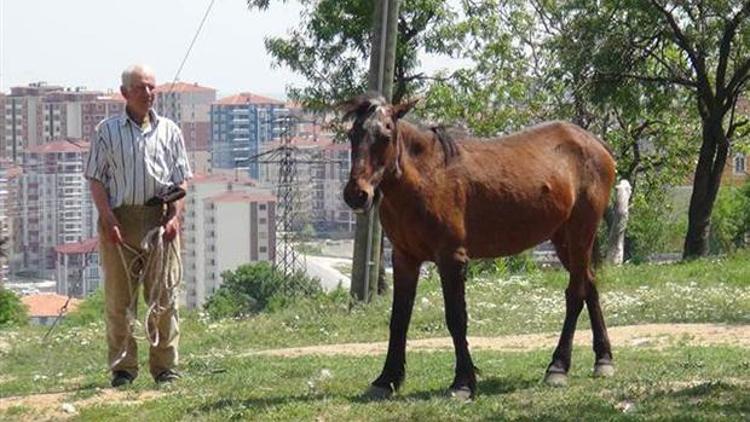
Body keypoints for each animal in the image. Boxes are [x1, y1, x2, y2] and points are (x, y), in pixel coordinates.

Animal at [344, 92, 620, 398]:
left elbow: (456, 318)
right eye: (352, 134)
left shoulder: (451, 258)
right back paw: (603, 359)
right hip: (563, 239)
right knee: (590, 286)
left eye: (385, 136)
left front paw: (463, 382)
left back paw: (558, 367)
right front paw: (387, 379)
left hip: (581, 232)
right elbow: (399, 319)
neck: (427, 177)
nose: (356, 194)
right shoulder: (405, 259)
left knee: (575, 294)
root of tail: (596, 144)